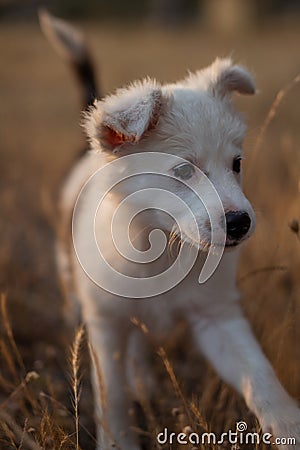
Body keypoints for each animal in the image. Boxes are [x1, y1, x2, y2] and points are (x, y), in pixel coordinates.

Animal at [40, 11, 300, 450]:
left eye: (237, 163)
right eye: (182, 170)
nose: (241, 223)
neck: (160, 246)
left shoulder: (217, 317)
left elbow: (259, 375)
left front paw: (288, 426)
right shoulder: (106, 323)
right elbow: (112, 395)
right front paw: (117, 440)